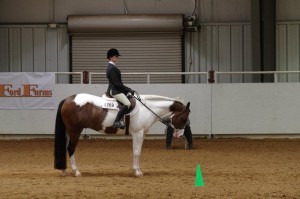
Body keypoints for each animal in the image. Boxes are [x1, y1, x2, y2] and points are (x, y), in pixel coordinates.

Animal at [54, 93, 190, 177]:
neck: (146, 109)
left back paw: (64, 170)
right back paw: (76, 172)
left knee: (65, 149)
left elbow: (138, 152)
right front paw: (137, 172)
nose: (179, 135)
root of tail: (68, 99)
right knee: (71, 149)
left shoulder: (141, 134)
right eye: (184, 118)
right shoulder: (137, 133)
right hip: (75, 130)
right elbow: (136, 152)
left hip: (69, 131)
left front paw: (138, 170)